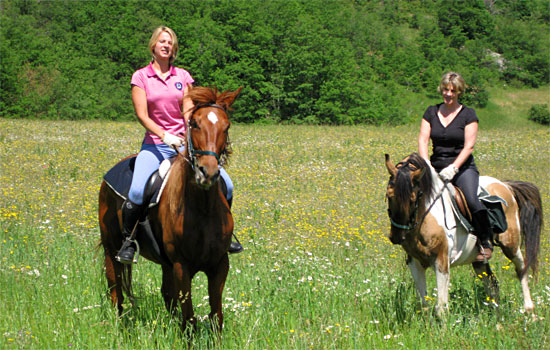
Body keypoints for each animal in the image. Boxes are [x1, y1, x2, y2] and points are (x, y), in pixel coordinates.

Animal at [98, 87, 244, 334]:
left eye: (227, 126)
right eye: (194, 124)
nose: (207, 173)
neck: (202, 208)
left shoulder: (219, 264)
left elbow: (216, 317)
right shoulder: (181, 266)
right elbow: (190, 318)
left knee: (166, 297)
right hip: (112, 250)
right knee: (116, 293)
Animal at [386, 152, 544, 316]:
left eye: (412, 199)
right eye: (389, 196)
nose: (397, 236)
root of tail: (505, 185)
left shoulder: (441, 261)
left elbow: (441, 307)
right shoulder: (415, 262)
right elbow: (423, 305)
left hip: (510, 245)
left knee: (521, 269)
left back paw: (530, 311)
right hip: (479, 260)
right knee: (492, 284)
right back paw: (497, 316)